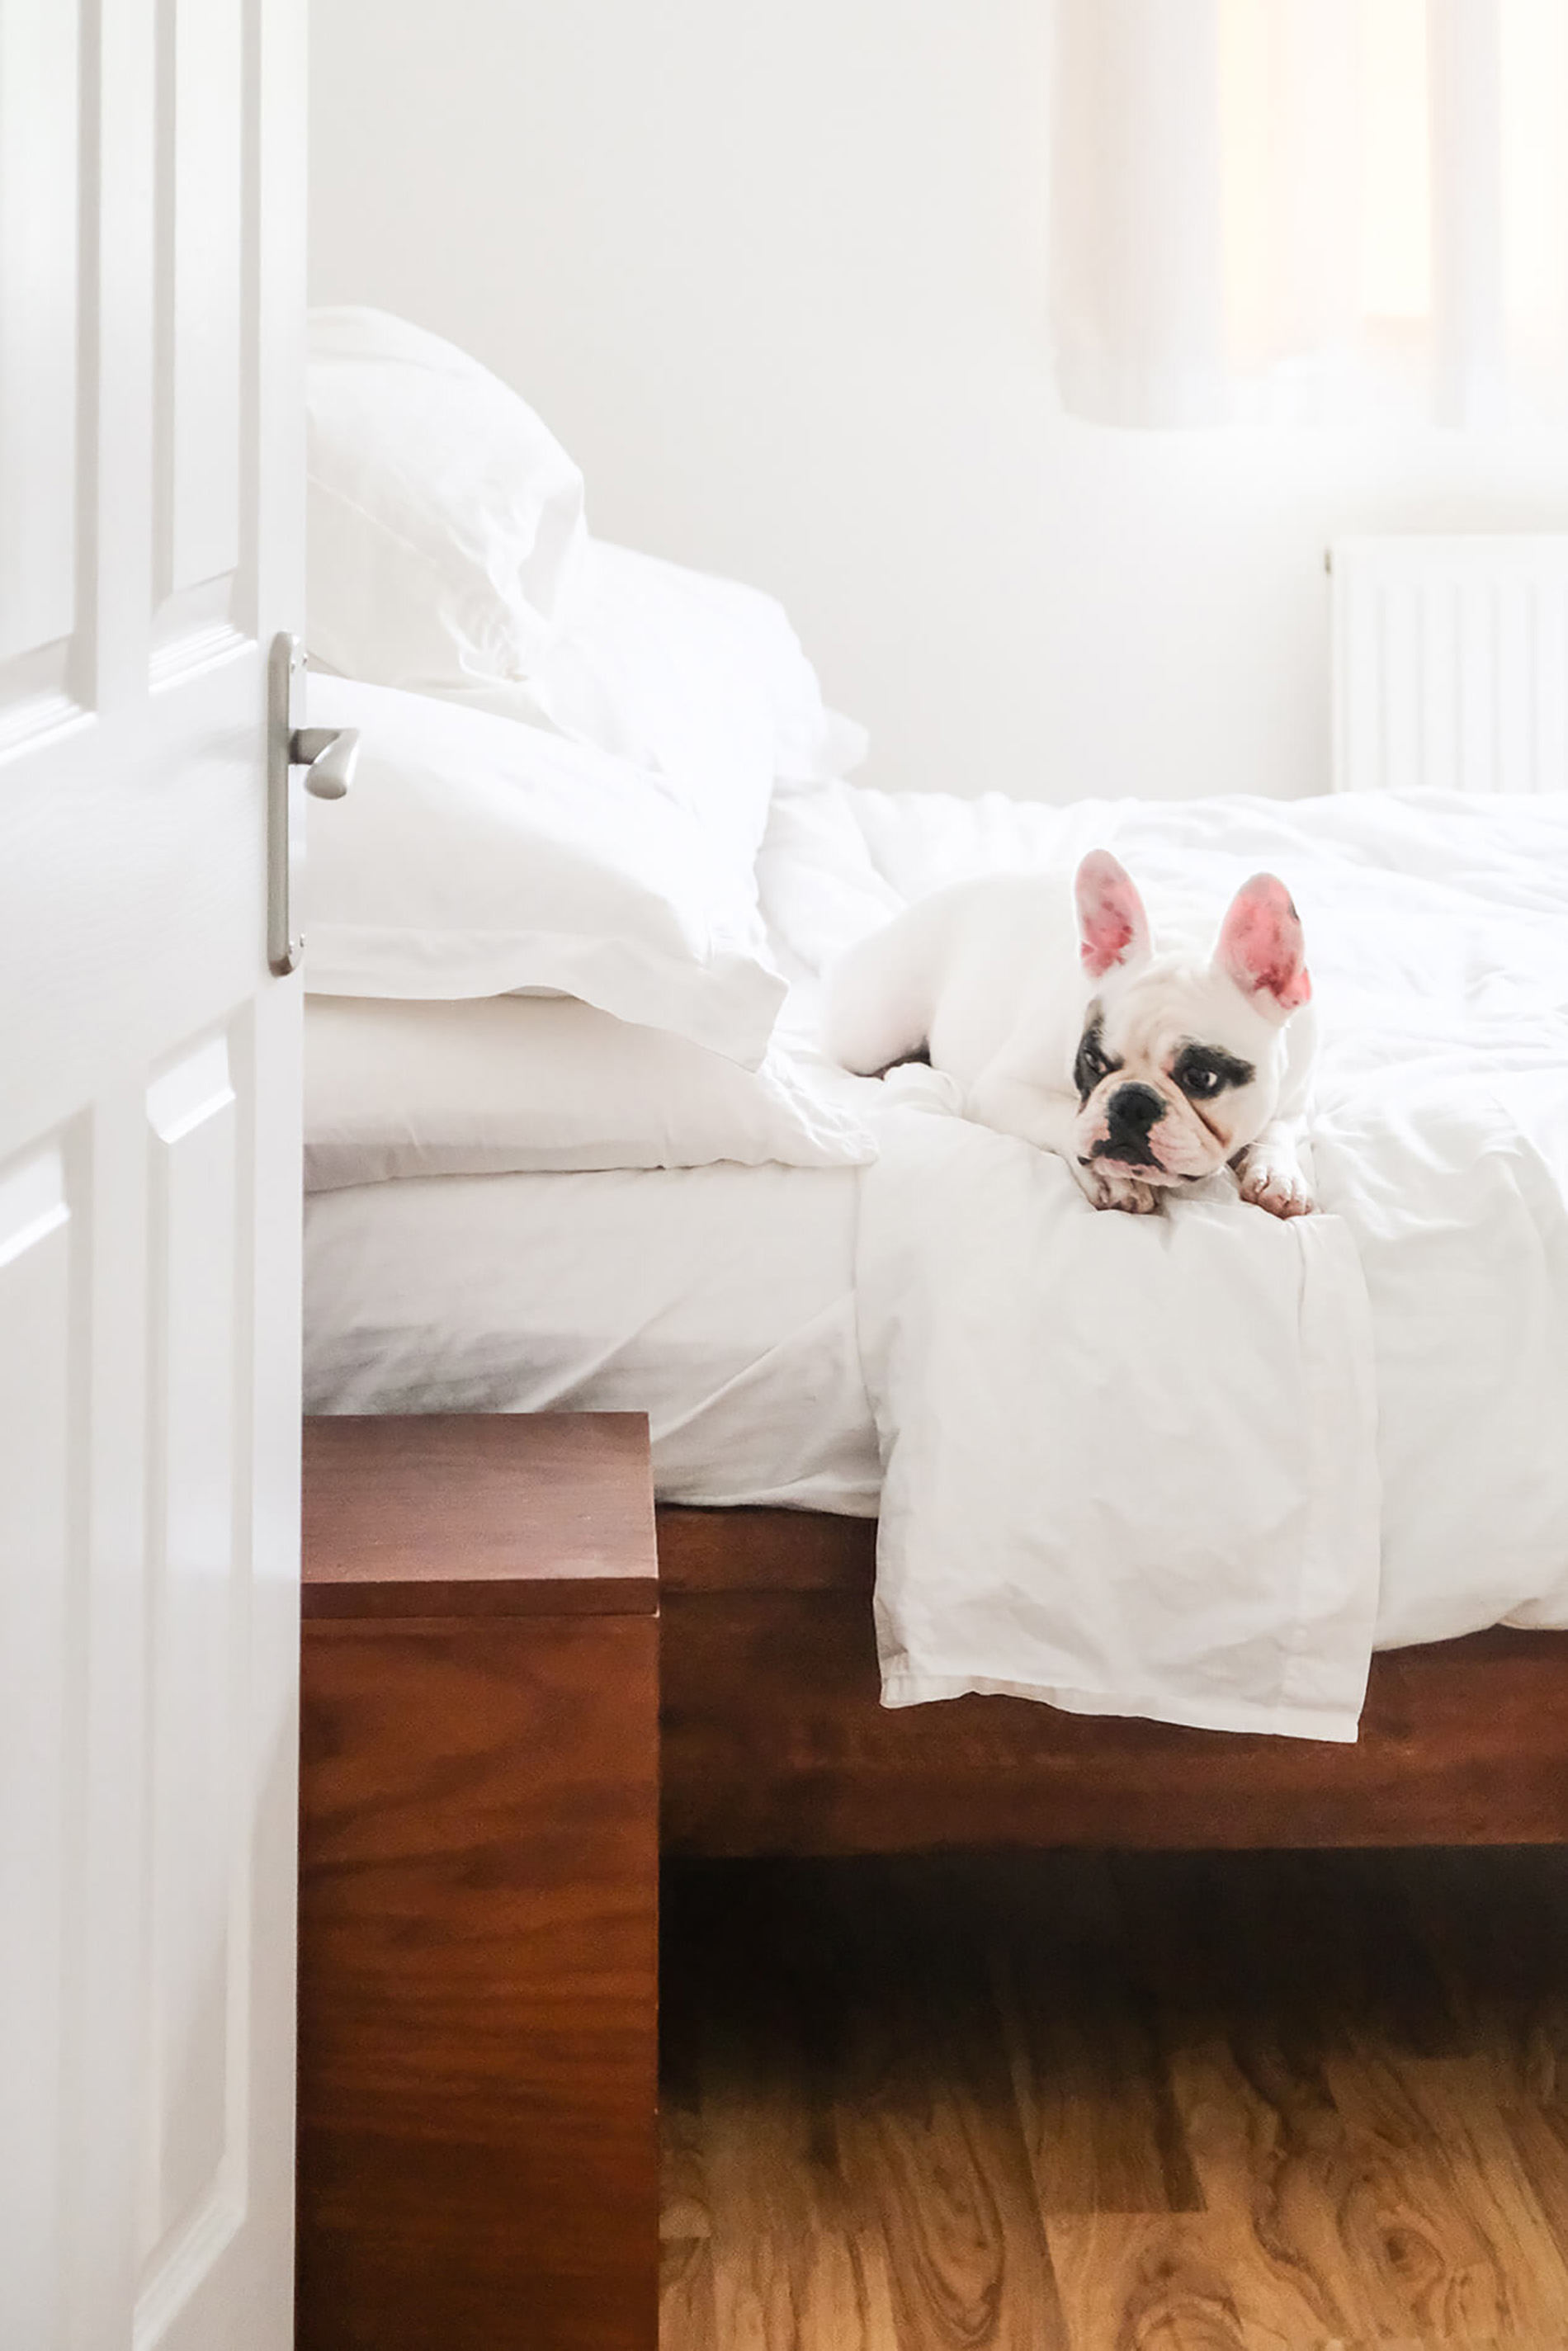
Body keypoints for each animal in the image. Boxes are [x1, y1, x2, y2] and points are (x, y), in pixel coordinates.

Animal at [827, 851, 1316, 1222]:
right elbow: (1065, 1117)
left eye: (1201, 1078)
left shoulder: (1294, 1096)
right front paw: (1112, 1177)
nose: (1133, 1102)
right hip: (871, 1032)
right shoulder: (1002, 1089)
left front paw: (1280, 1175)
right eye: (1092, 1062)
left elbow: (1278, 1130)